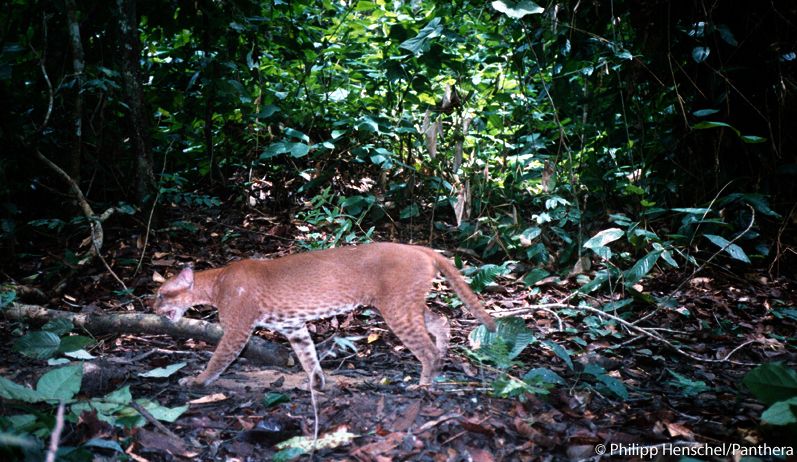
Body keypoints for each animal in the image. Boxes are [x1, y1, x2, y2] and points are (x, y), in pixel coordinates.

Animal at [152, 242, 494, 390]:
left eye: (160, 294)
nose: (153, 309)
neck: (216, 280)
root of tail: (422, 248)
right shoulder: (293, 326)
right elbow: (308, 356)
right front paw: (315, 383)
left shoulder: (237, 329)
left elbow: (219, 359)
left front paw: (198, 380)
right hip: (404, 304)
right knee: (440, 322)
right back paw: (443, 358)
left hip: (396, 309)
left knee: (425, 349)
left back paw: (424, 383)